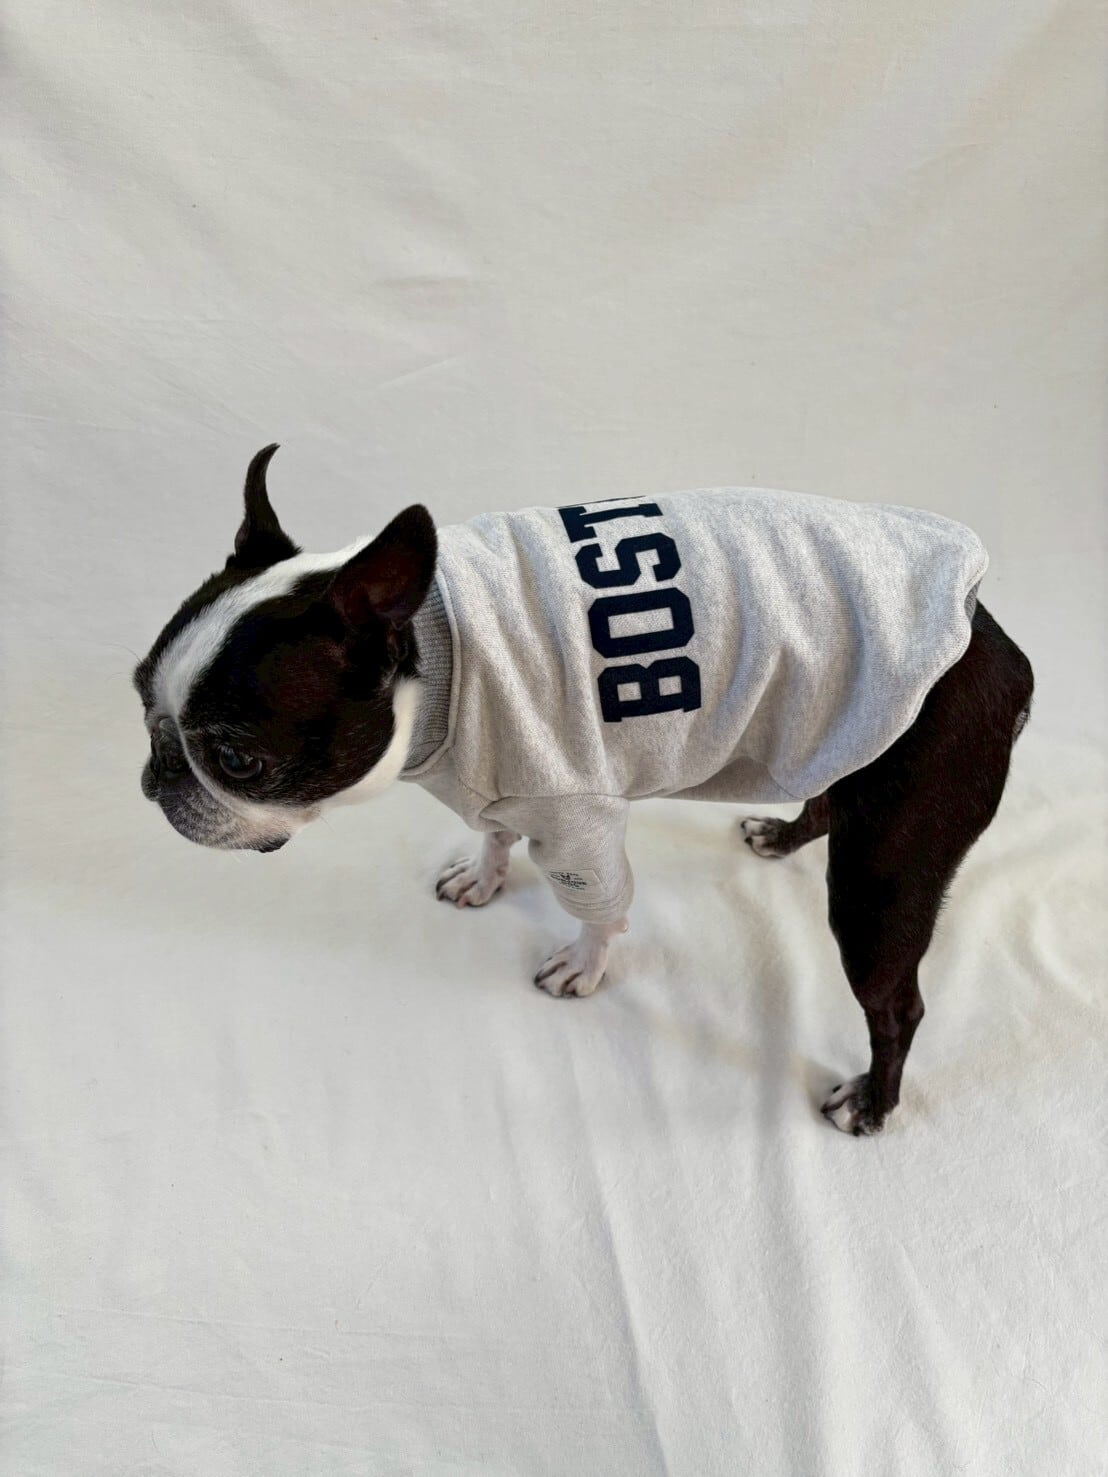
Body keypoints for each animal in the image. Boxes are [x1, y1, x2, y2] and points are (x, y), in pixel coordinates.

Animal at [134, 446, 1034, 1135]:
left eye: (237, 758)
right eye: (140, 690)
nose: (155, 775)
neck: (435, 655)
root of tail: (998, 645)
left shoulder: (573, 812)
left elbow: (596, 900)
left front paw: (582, 963)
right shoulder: (497, 776)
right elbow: (494, 830)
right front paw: (483, 875)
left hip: (885, 867)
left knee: (898, 1005)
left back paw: (872, 1102)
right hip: (844, 740)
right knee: (825, 795)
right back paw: (778, 836)